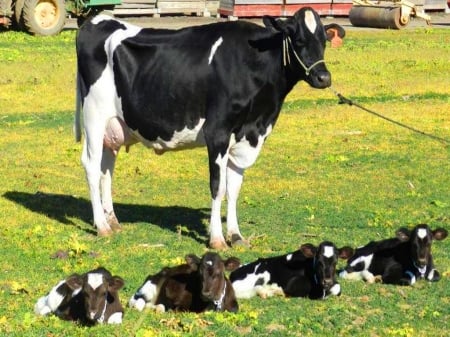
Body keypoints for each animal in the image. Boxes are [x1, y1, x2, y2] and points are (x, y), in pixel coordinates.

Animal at [74, 7, 344, 249]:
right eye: (299, 40)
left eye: (324, 41)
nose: (324, 78)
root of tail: (96, 21)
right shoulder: (218, 132)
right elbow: (218, 186)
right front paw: (217, 239)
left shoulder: (246, 135)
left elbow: (234, 188)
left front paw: (236, 235)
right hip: (94, 115)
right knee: (91, 165)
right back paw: (102, 226)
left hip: (115, 125)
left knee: (107, 167)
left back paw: (112, 220)